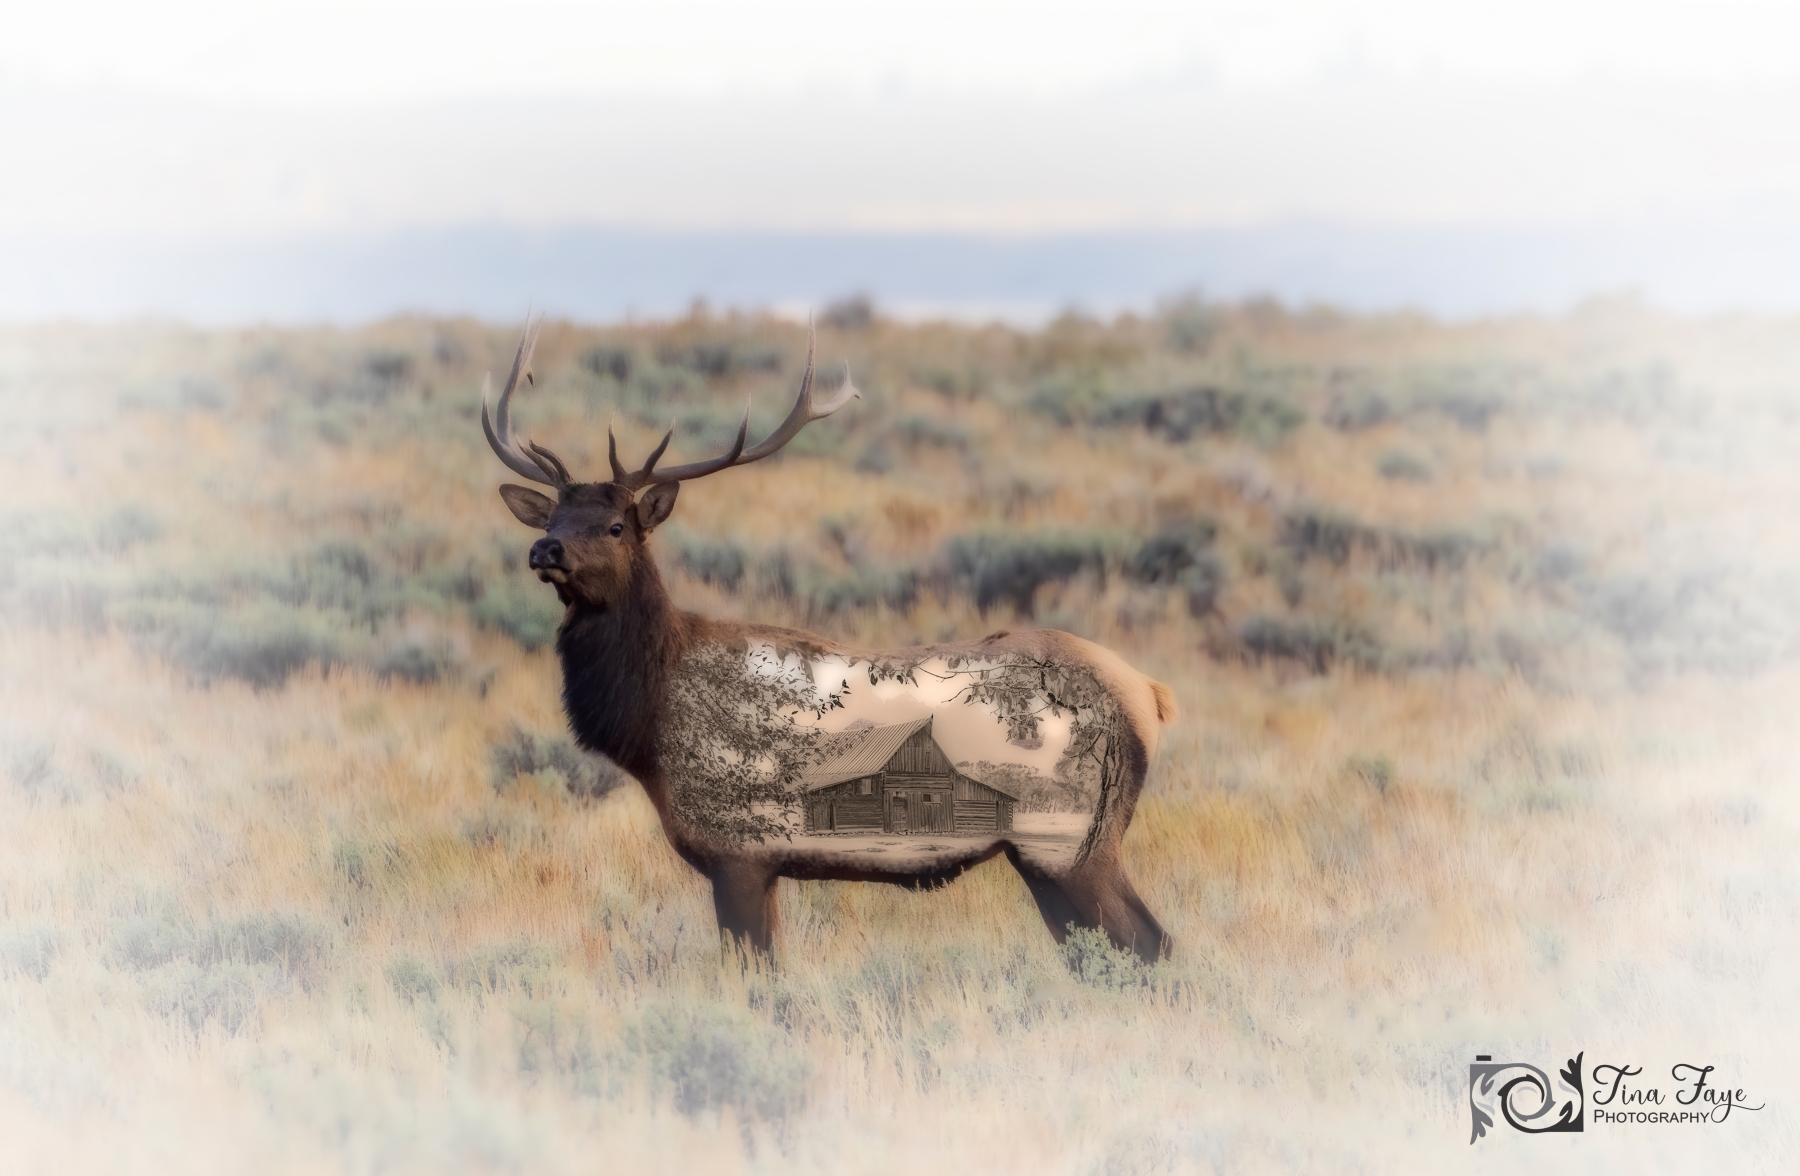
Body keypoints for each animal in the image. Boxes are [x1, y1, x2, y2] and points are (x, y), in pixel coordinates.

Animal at [483, 318, 1178, 962]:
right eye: (552, 516)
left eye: (616, 525)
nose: (545, 549)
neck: (650, 727)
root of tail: (1150, 694)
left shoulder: (742, 850)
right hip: (1044, 857)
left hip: (1073, 841)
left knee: (1152, 943)